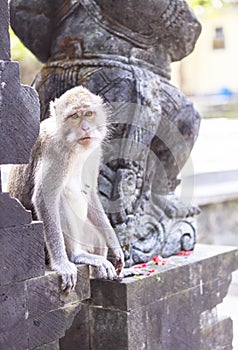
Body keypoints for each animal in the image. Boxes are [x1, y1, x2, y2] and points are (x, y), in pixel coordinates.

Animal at [7, 85, 124, 292]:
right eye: (74, 116)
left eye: (88, 113)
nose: (85, 128)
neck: (73, 145)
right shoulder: (55, 151)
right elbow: (45, 197)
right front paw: (62, 264)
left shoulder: (94, 150)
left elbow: (90, 192)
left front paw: (115, 244)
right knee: (60, 197)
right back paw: (76, 256)